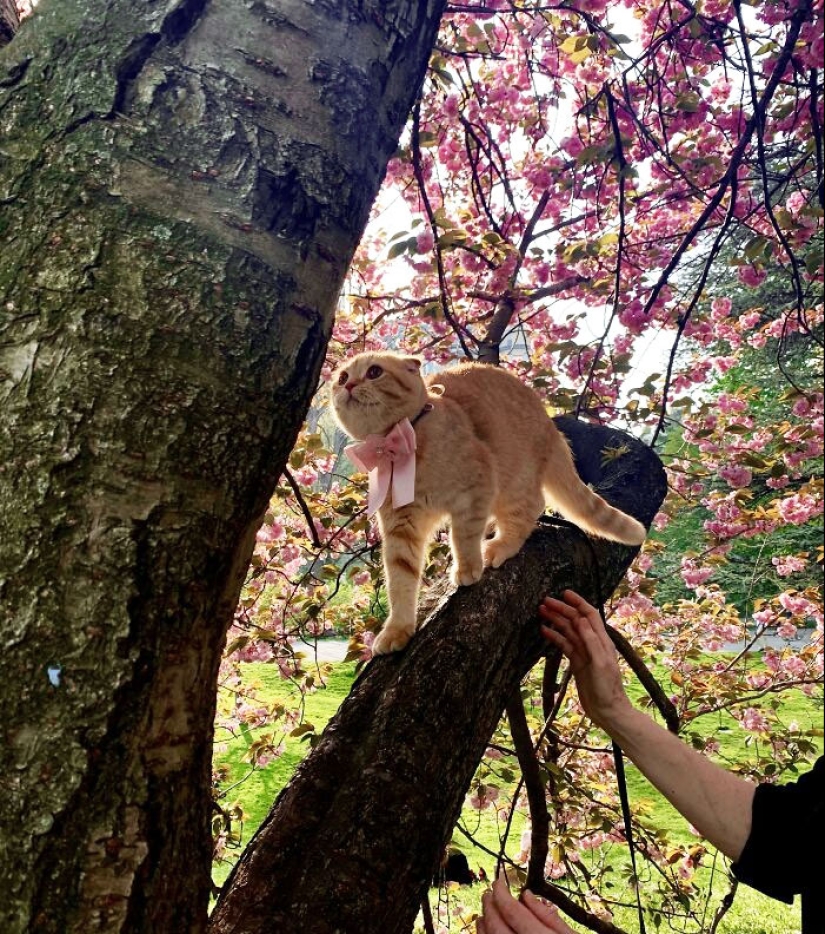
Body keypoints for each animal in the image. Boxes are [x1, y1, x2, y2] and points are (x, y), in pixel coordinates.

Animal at [328, 354, 644, 656]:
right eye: (342, 376)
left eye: (374, 372)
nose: (349, 385)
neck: (402, 446)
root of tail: (550, 426)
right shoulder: (400, 526)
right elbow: (400, 580)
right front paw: (398, 630)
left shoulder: (476, 488)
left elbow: (463, 535)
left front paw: (467, 568)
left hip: (511, 483)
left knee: (531, 507)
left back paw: (499, 546)